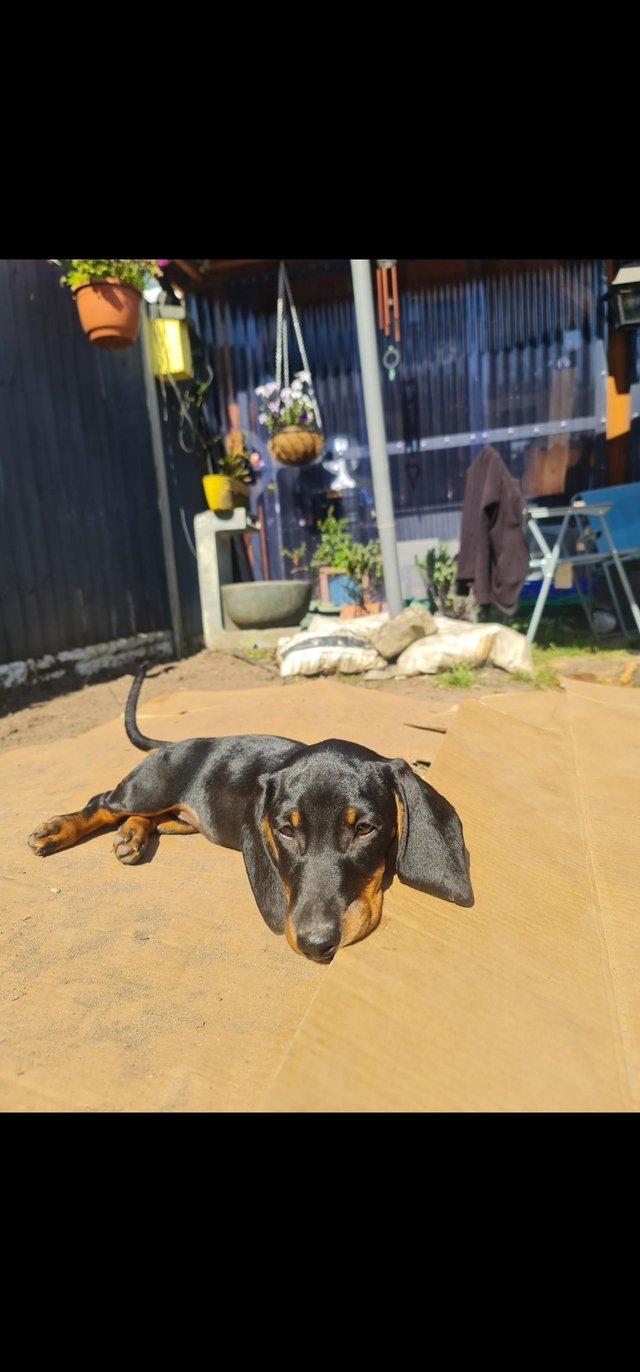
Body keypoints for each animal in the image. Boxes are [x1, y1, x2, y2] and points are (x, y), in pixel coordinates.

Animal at [27, 669, 472, 960]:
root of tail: (177, 744)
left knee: (150, 820)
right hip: (146, 789)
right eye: (284, 830)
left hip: (179, 820)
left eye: (364, 828)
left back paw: (132, 838)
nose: (315, 946)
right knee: (103, 802)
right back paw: (57, 829)